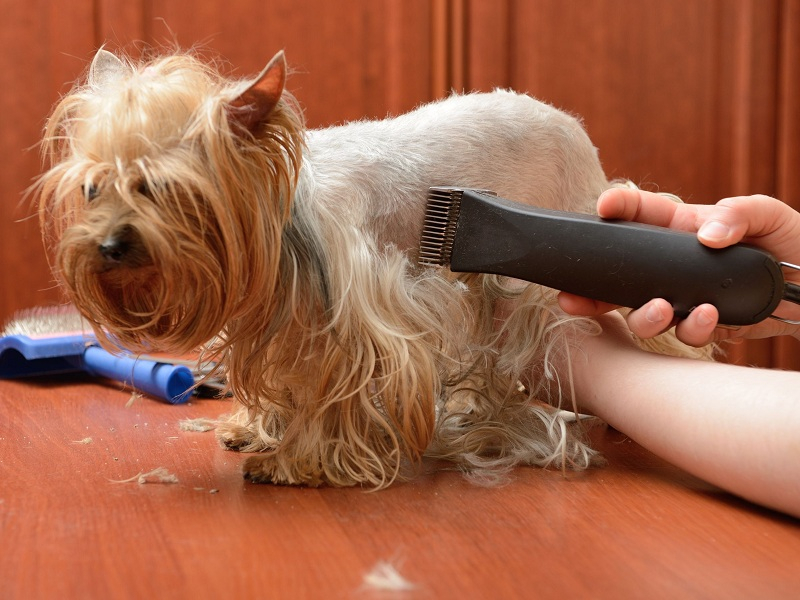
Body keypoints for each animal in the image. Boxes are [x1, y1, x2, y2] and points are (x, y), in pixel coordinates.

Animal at [37, 48, 704, 488]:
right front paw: (257, 428)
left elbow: (337, 394)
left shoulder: (362, 320)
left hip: (571, 237)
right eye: (93, 188)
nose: (109, 247)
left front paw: (294, 462)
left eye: (163, 190)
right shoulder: (285, 320)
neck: (282, 229)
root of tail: (573, 128)